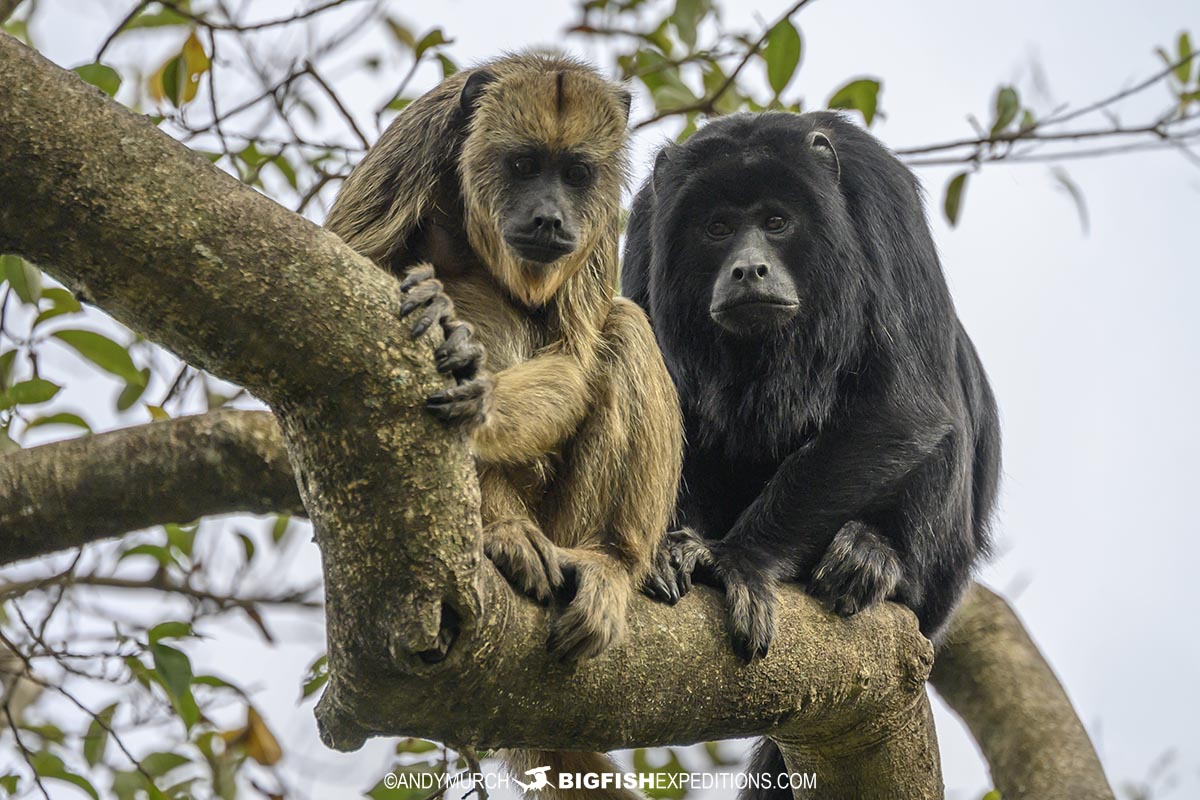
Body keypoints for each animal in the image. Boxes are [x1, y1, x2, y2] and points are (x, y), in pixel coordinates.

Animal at [325, 53, 683, 799]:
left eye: (575, 173)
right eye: (522, 165)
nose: (549, 217)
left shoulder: (599, 225)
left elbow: (575, 354)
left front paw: (482, 393)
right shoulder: (417, 142)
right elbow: (338, 276)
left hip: (566, 520)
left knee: (624, 327)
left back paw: (616, 561)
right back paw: (501, 532)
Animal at [621, 111, 1001, 800]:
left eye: (777, 222)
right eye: (717, 228)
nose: (749, 269)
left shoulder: (880, 192)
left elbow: (905, 403)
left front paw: (738, 559)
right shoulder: (645, 223)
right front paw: (665, 548)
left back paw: (876, 560)